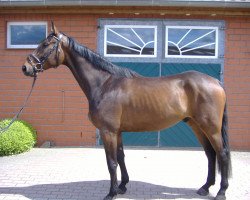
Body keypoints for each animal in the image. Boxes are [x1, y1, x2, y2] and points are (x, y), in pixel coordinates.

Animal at [21, 22, 230, 199]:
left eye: (46, 44)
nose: (26, 67)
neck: (104, 84)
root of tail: (215, 81)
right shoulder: (118, 132)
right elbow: (121, 157)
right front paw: (122, 186)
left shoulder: (108, 132)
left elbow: (111, 162)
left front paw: (111, 192)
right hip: (197, 125)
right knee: (210, 154)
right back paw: (205, 188)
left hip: (211, 128)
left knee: (222, 155)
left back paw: (221, 191)